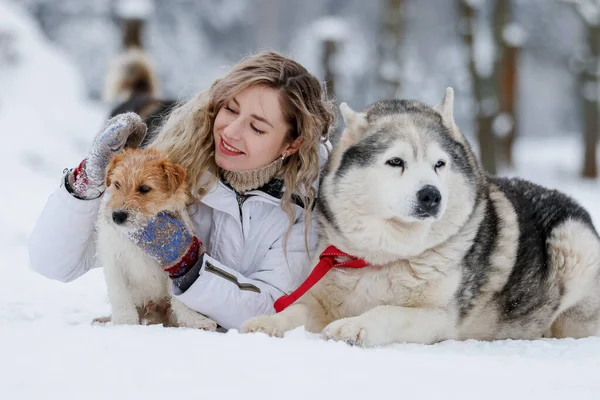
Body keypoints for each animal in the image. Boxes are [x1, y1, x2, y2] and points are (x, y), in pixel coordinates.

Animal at [241, 88, 600, 346]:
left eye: (440, 164)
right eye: (395, 161)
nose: (431, 195)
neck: (387, 258)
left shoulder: (437, 316)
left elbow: (386, 311)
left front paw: (355, 326)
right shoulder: (322, 300)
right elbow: (296, 309)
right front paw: (268, 322)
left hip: (572, 242)